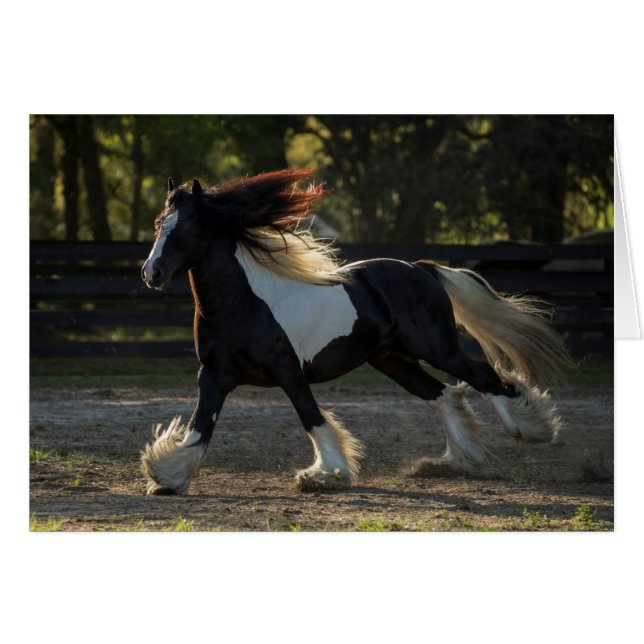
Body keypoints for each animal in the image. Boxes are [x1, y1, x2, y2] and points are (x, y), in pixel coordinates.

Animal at [140, 168, 569, 495]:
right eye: (160, 224)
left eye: (190, 225)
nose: (151, 273)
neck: (244, 303)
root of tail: (422, 269)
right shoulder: (214, 375)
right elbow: (200, 427)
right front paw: (167, 477)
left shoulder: (287, 370)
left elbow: (311, 417)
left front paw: (325, 474)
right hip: (392, 360)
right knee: (444, 395)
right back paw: (452, 461)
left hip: (437, 348)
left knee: (485, 378)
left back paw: (534, 428)